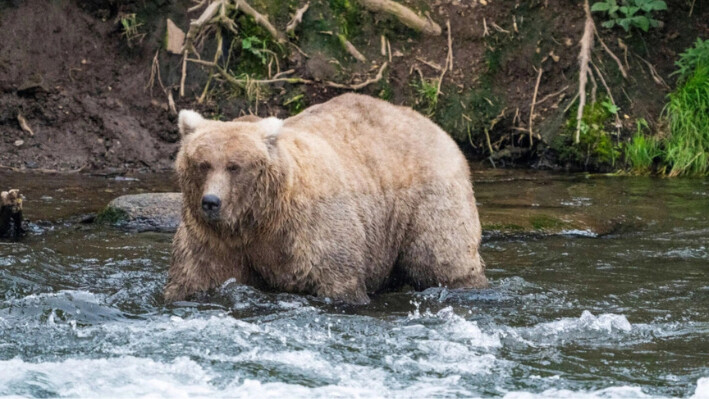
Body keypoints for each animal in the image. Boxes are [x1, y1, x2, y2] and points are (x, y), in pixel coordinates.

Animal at [165, 94, 486, 304]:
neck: (258, 219)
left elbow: (337, 279)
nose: (211, 202)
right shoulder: (214, 240)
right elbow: (195, 276)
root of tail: (436, 127)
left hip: (427, 199)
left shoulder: (311, 229)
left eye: (234, 166)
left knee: (441, 257)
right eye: (203, 164)